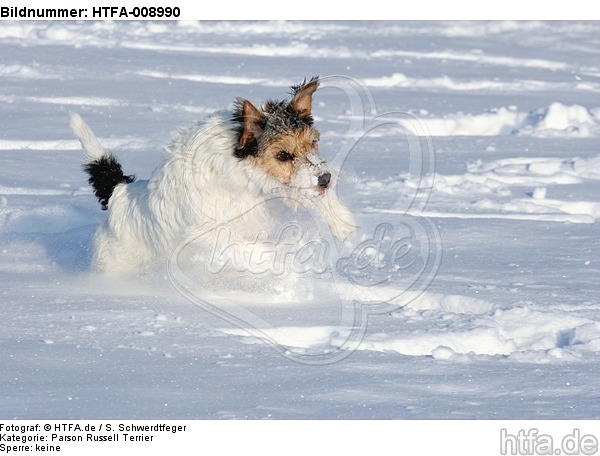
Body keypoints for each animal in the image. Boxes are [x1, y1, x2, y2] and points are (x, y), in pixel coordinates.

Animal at [70, 77, 356, 274]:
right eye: (283, 155)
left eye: (313, 143)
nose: (325, 178)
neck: (242, 176)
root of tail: (119, 193)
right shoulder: (212, 235)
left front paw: (341, 222)